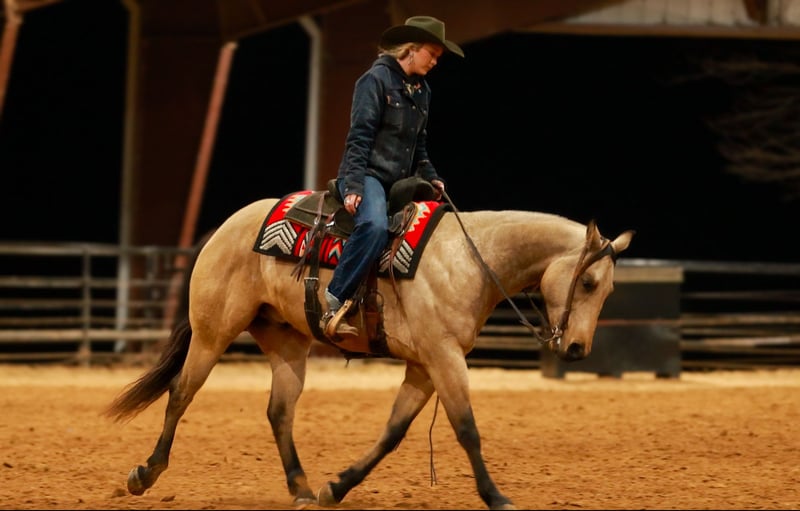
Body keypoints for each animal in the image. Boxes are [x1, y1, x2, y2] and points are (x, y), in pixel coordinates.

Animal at [104, 191, 634, 510]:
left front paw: (336, 486)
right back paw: (145, 474)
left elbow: (393, 433)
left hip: (287, 343)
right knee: (180, 393)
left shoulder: (423, 366)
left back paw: (301, 487)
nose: (577, 349)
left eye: (609, 290)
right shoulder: (444, 358)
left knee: (279, 412)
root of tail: (225, 229)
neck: (470, 259)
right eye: (588, 282)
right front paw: (496, 496)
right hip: (212, 332)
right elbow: (467, 429)